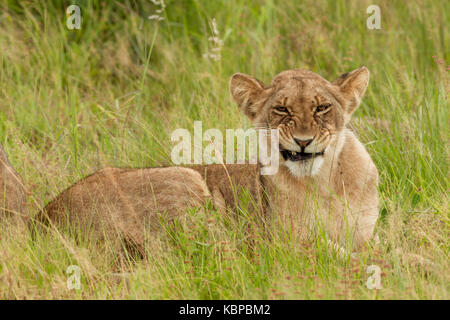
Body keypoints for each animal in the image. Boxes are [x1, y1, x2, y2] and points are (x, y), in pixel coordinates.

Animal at [38, 67, 378, 252]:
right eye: (281, 110)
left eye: (322, 108)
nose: (303, 141)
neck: (323, 183)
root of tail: (41, 219)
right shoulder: (286, 241)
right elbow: (338, 255)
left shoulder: (364, 234)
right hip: (183, 179)